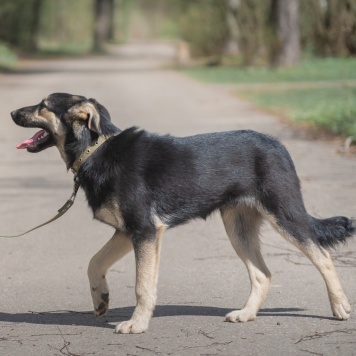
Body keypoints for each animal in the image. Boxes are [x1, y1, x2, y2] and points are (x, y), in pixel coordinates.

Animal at [10, 92, 354, 334]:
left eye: (43, 105)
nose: (12, 112)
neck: (96, 149)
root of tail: (279, 146)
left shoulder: (145, 231)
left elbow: (142, 285)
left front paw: (137, 325)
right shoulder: (127, 231)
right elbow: (95, 263)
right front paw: (101, 300)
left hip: (284, 214)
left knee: (323, 256)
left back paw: (340, 307)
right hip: (238, 227)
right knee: (262, 274)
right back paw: (246, 314)